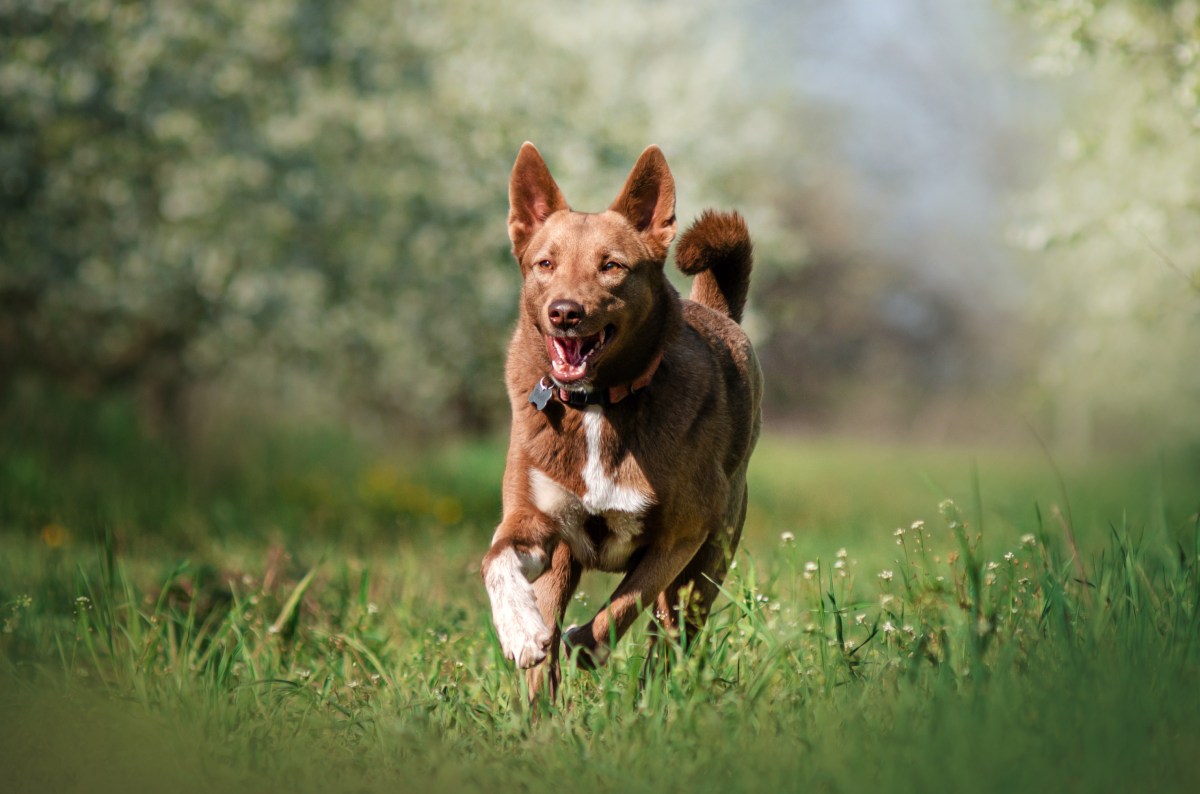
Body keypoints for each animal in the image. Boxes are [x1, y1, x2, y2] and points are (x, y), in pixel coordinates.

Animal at [480, 143, 758, 705]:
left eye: (611, 266)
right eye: (545, 263)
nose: (565, 312)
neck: (595, 405)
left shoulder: (681, 535)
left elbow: (626, 601)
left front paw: (585, 644)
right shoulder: (533, 519)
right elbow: (496, 559)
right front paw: (520, 631)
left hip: (706, 568)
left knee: (668, 638)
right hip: (562, 563)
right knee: (550, 637)